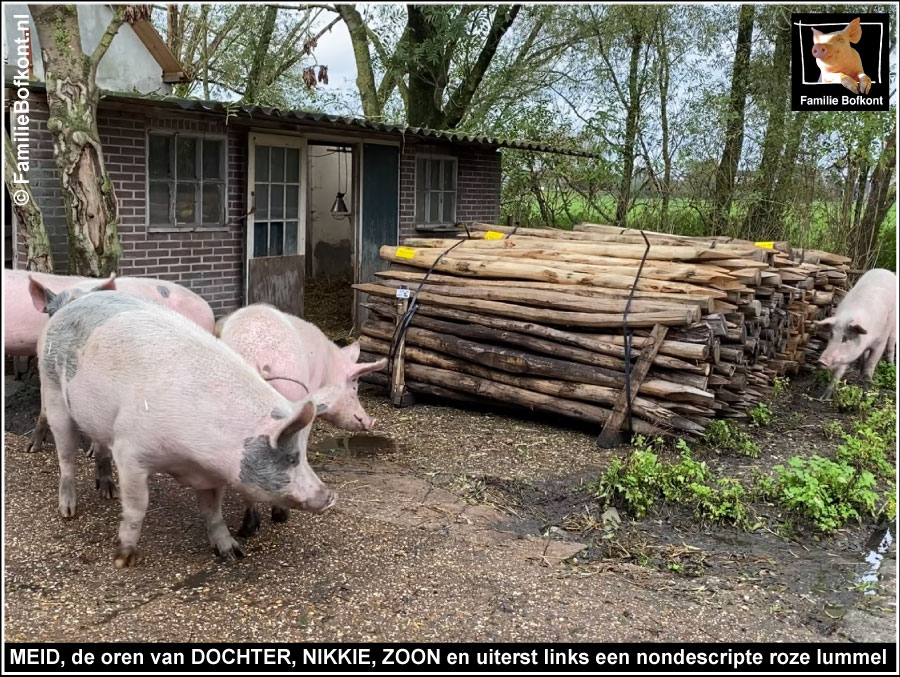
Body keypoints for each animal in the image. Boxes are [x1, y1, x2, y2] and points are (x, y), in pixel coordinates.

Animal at [816, 266, 892, 398]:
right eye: (831, 335)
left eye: (845, 338)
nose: (821, 361)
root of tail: (884, 270)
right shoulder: (845, 354)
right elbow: (837, 374)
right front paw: (824, 397)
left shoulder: (880, 342)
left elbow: (871, 365)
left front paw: (867, 392)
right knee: (864, 356)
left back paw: (891, 364)